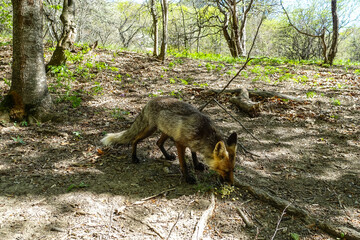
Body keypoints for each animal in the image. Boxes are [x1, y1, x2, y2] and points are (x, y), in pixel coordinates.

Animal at [100, 96, 236, 185]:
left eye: (233, 170)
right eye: (225, 170)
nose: (232, 184)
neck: (203, 132)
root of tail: (151, 100)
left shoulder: (192, 143)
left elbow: (194, 155)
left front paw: (197, 165)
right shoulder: (180, 143)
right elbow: (184, 164)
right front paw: (188, 178)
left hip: (166, 131)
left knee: (158, 143)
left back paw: (167, 156)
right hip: (151, 130)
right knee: (135, 139)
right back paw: (134, 157)